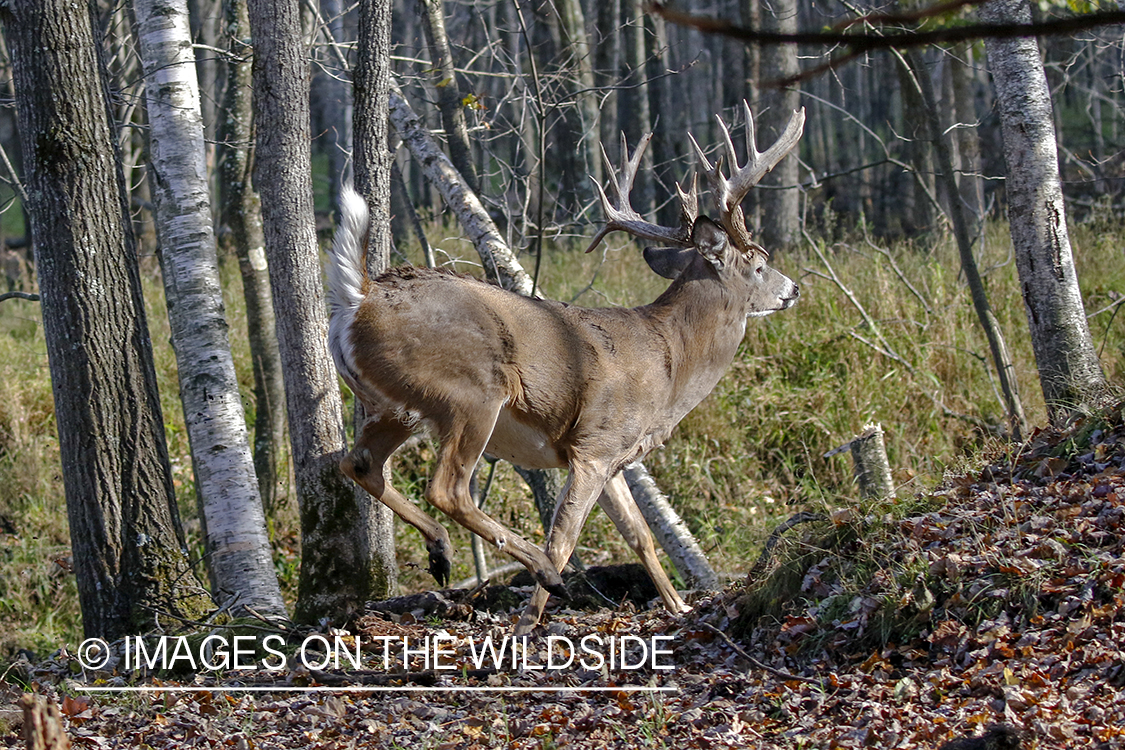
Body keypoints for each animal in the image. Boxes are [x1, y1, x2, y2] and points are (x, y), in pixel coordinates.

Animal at [328, 102, 805, 638]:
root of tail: (361, 297)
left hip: (393, 406)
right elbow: (564, 538)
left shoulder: (613, 456)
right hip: (470, 393)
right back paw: (538, 571)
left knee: (357, 463)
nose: (794, 289)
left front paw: (680, 609)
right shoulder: (595, 444)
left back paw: (440, 551)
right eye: (759, 263)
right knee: (447, 488)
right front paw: (527, 624)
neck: (670, 361)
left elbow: (640, 535)